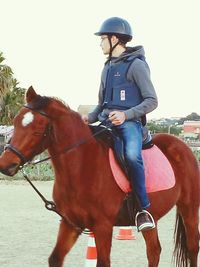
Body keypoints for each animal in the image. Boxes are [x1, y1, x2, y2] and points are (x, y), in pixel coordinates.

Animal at [0, 87, 198, 266]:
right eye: (16, 122)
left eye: (37, 129)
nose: (6, 164)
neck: (82, 167)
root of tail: (183, 146)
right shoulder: (70, 224)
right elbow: (55, 258)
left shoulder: (103, 227)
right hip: (152, 218)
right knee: (154, 251)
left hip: (189, 208)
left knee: (192, 247)